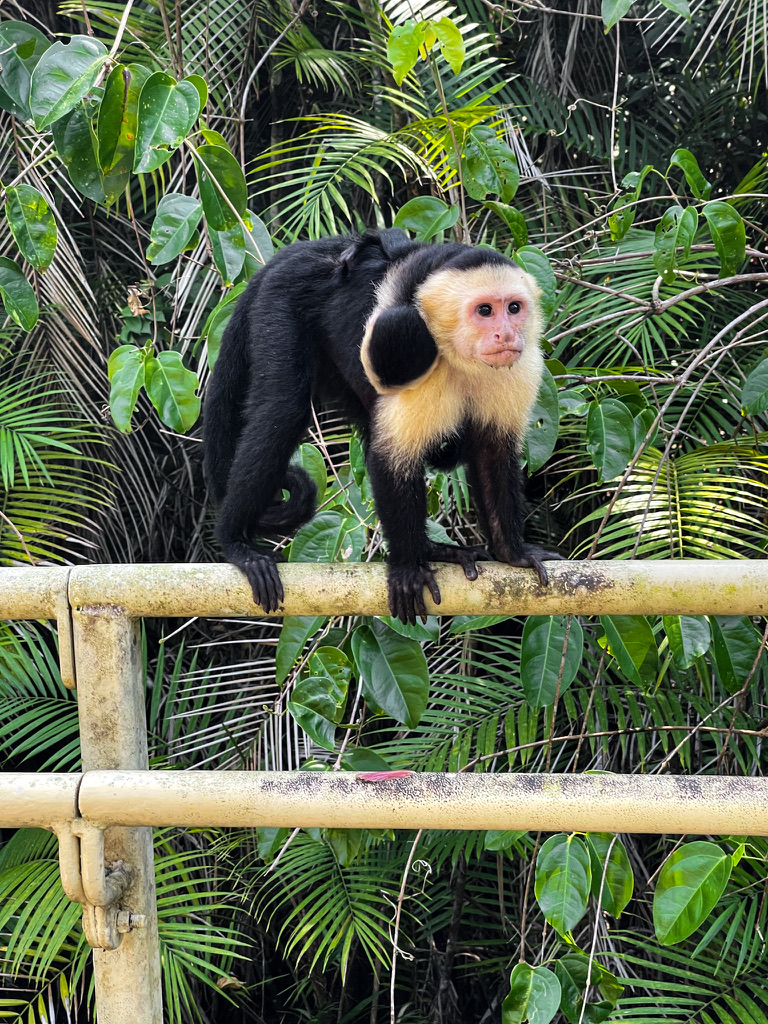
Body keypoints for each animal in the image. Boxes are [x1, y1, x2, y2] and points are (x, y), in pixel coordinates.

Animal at [203, 228, 562, 625]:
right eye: (485, 311)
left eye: (513, 308)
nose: (507, 335)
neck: (460, 359)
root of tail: (307, 250)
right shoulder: (417, 348)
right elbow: (392, 458)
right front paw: (407, 569)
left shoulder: (521, 368)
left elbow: (491, 453)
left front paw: (512, 552)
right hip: (283, 298)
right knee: (281, 413)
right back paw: (236, 542)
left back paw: (432, 548)